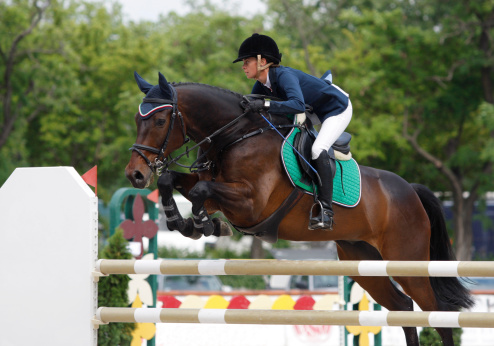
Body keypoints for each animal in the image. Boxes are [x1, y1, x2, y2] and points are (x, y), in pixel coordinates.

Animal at [125, 71, 472, 344]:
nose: (135, 174)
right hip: (363, 261)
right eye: (137, 119)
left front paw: (203, 224)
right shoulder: (218, 190)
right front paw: (183, 222)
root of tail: (411, 191)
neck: (235, 137)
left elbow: (199, 190)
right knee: (403, 308)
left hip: (408, 262)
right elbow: (171, 180)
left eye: (160, 120)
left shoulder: (251, 204)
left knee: (438, 315)